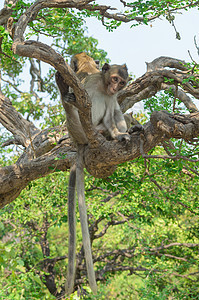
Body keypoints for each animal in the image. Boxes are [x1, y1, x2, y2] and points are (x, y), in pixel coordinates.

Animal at [55, 52, 131, 296]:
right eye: (115, 79)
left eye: (122, 82)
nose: (116, 87)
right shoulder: (87, 84)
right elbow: (76, 100)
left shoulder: (110, 95)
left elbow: (111, 111)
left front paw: (120, 134)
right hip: (79, 129)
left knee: (111, 112)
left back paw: (117, 134)